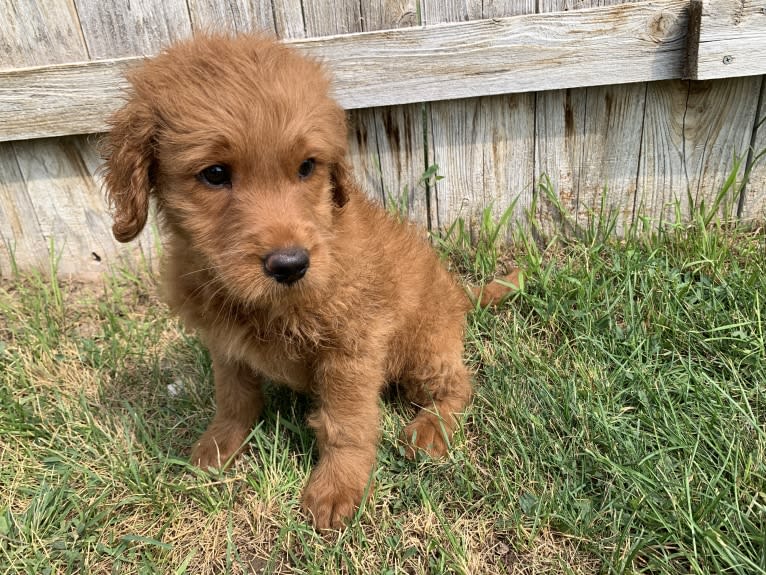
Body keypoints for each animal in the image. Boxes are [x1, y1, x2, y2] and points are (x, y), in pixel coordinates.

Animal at [100, 33, 516, 532]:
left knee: (459, 384)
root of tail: (457, 293)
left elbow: (346, 423)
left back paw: (431, 427)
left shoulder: (352, 349)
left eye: (306, 167)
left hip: (423, 350)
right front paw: (219, 447)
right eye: (215, 174)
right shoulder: (225, 344)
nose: (291, 265)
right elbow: (234, 399)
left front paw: (338, 486)